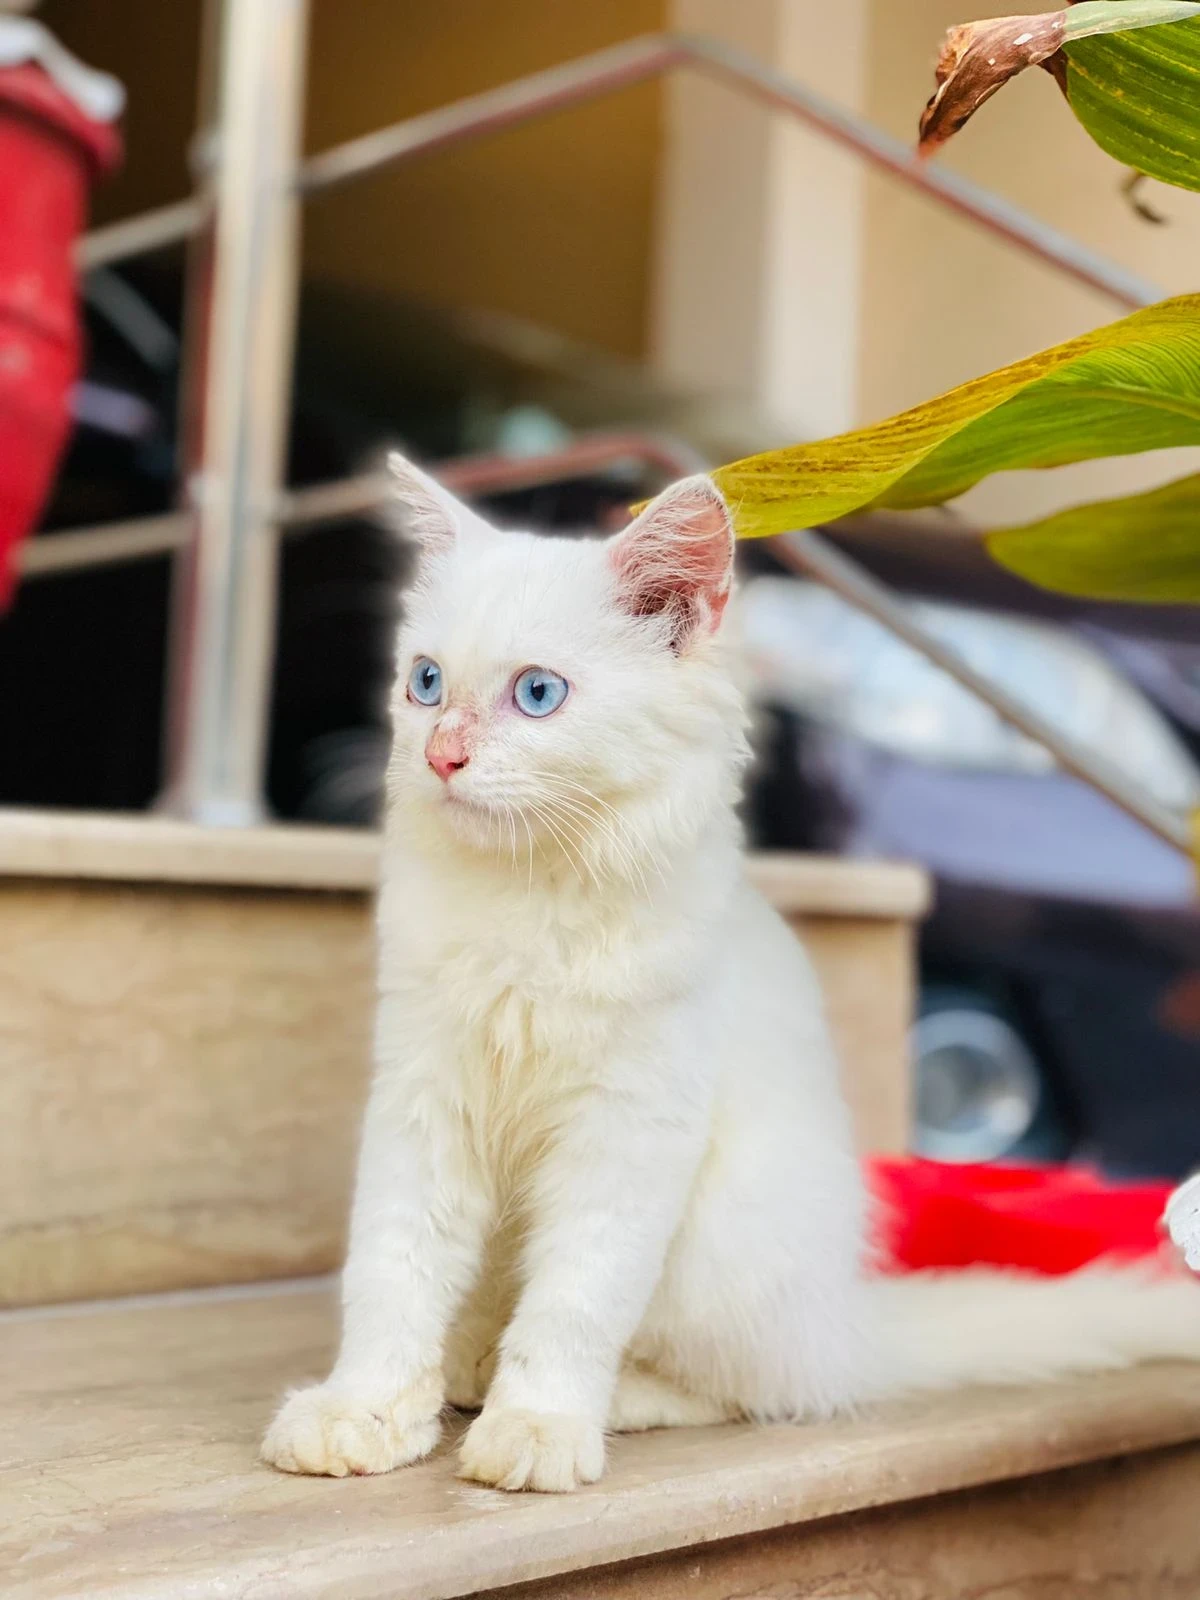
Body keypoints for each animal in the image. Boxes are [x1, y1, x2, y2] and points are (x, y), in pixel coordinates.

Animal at [262, 457, 1200, 1491]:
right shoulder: (423, 1097)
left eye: (538, 694)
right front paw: (364, 1411)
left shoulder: (630, 1131)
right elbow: (392, 1271)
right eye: (425, 683)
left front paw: (538, 1427)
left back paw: (600, 1399)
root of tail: (848, 1323)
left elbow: (575, 1300)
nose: (440, 756)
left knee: (759, 1390)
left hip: (723, 1242)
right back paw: (461, 1370)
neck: (529, 896)